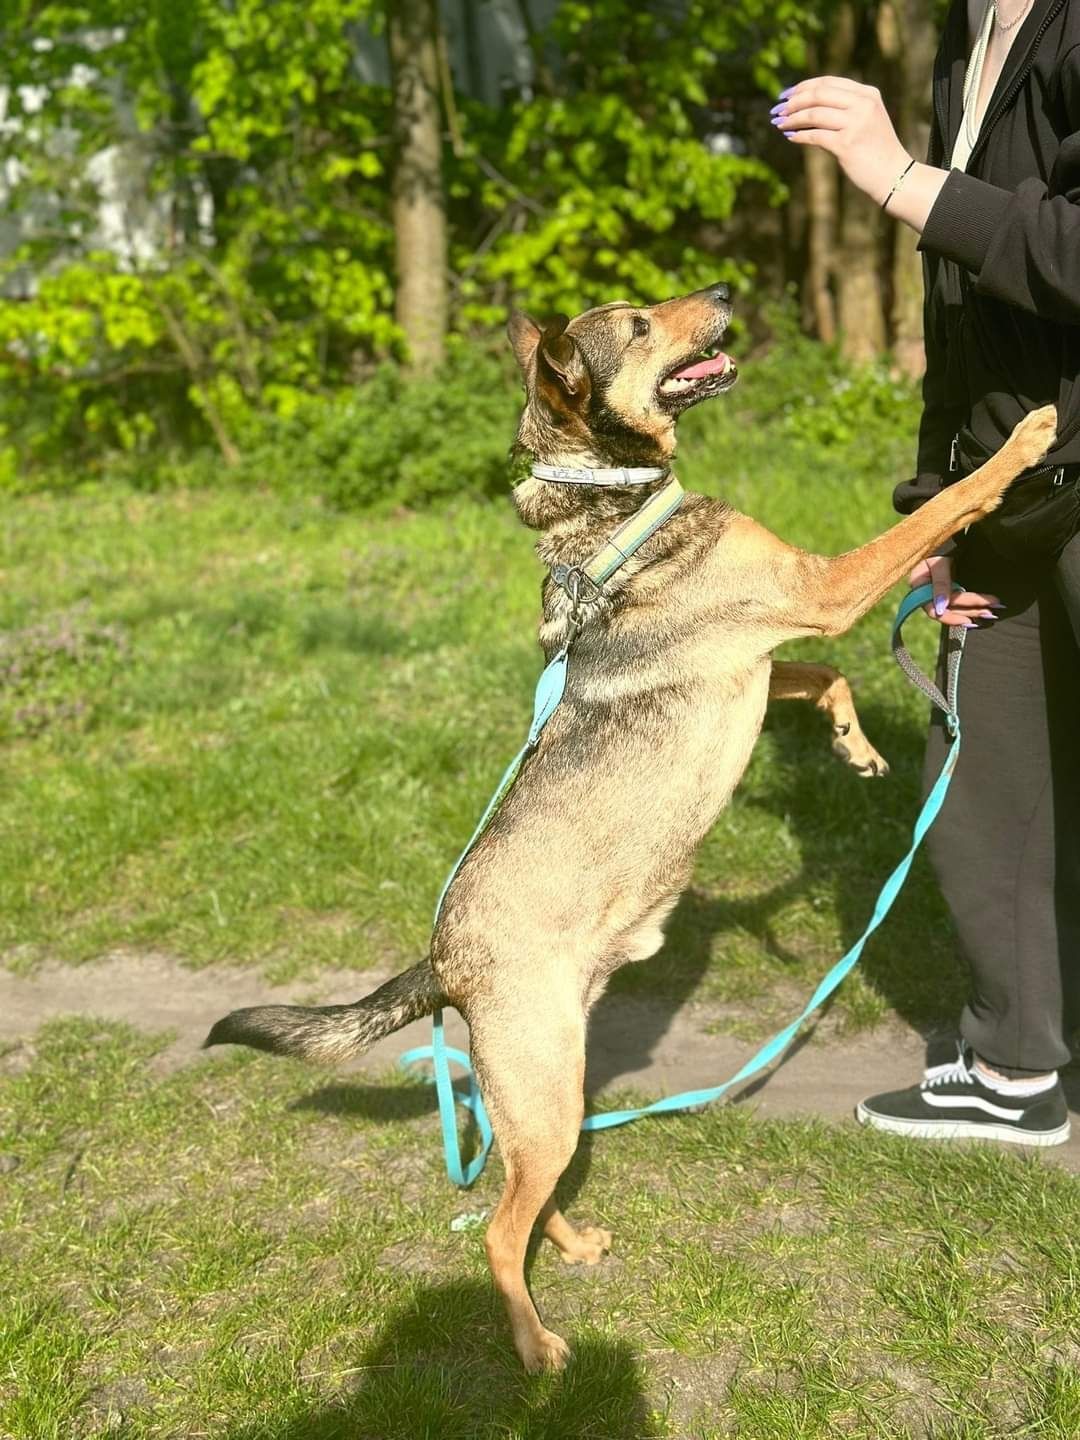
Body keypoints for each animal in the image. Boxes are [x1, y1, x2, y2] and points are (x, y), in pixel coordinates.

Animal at [203, 280, 1059, 1370]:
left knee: (522, 1192)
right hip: (541, 1084)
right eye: (641, 323)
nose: (729, 290)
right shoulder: (818, 589)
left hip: (545, 1092)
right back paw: (537, 1349)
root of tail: (442, 958)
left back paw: (572, 1247)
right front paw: (1027, 435)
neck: (609, 497)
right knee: (496, 1230)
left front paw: (855, 748)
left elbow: (825, 675)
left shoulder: (773, 646)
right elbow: (949, 502)